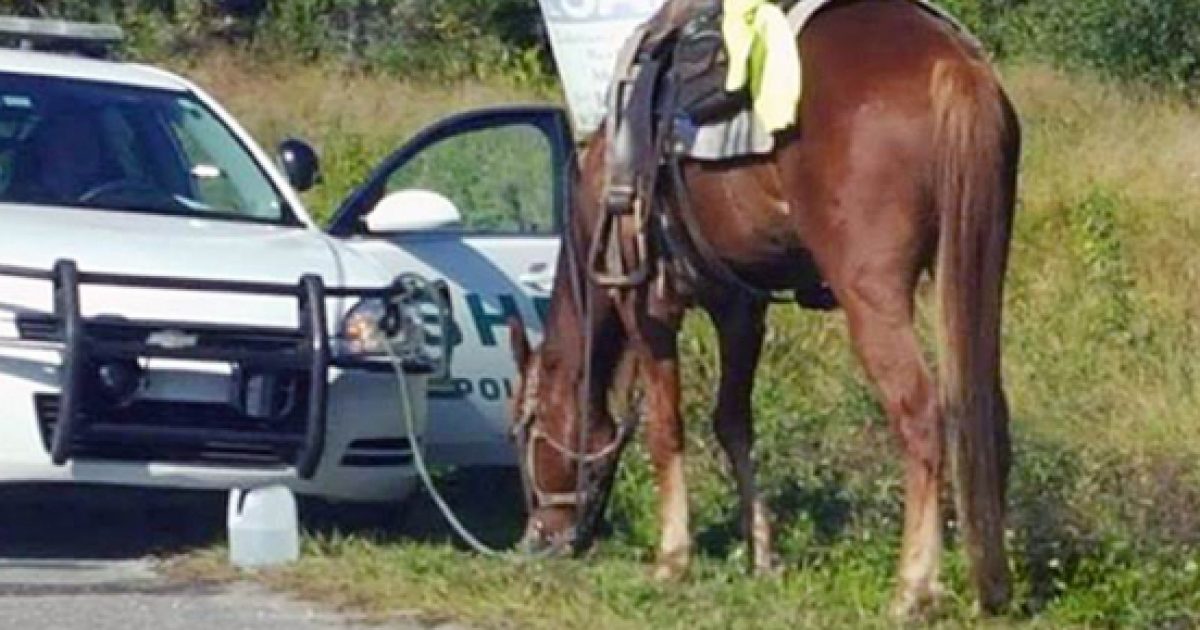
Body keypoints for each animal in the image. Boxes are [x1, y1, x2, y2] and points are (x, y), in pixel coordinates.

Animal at [507, 0, 1020, 618]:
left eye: (523, 430)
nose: (535, 539)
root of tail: (954, 64)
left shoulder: (646, 304)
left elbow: (666, 428)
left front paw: (672, 558)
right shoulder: (740, 307)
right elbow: (733, 423)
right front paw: (762, 555)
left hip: (872, 296)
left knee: (920, 414)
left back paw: (913, 586)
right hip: (974, 266)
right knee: (986, 408)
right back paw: (991, 582)